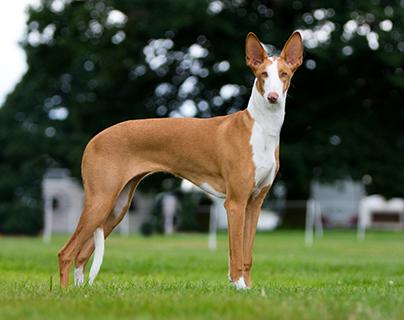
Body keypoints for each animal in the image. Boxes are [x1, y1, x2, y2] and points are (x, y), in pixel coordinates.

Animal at [57, 31, 304, 290]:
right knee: (66, 253)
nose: (273, 97)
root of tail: (94, 140)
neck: (260, 129)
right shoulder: (235, 203)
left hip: (116, 207)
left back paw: (81, 291)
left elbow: (247, 255)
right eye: (263, 74)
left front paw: (246, 290)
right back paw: (64, 293)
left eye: (284, 74)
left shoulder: (254, 204)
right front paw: (238, 286)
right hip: (100, 201)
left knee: (82, 255)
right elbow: (236, 254)